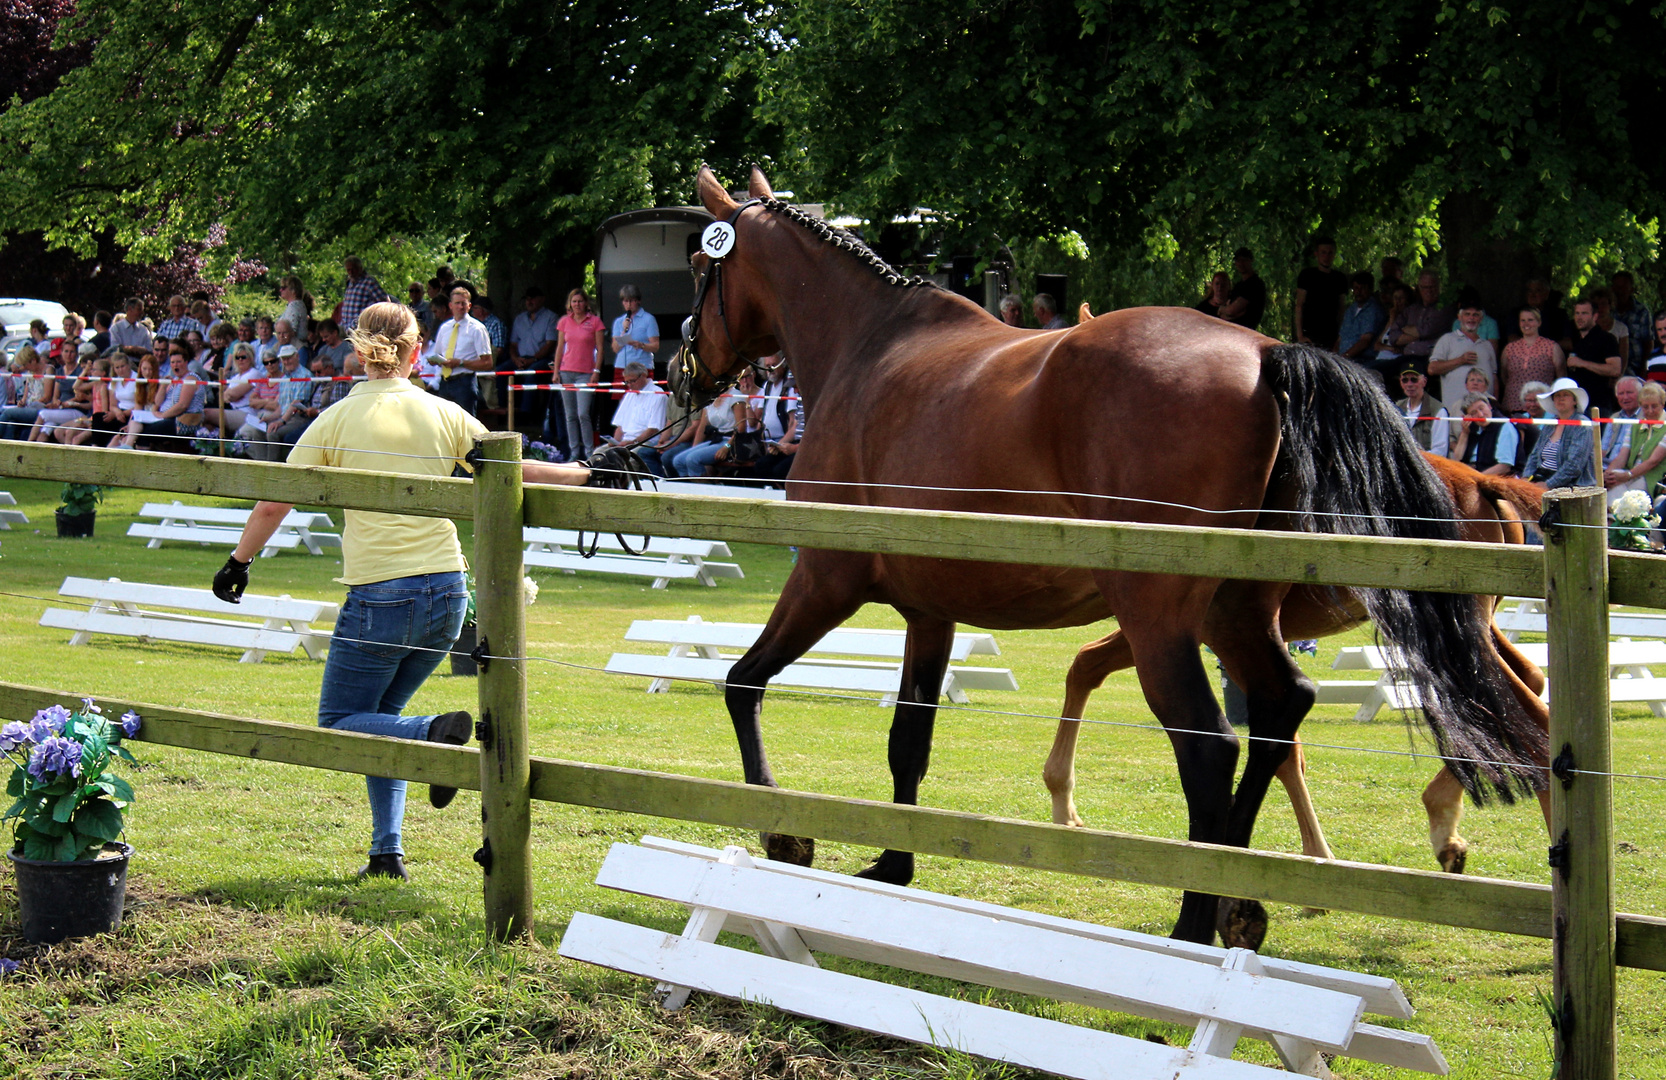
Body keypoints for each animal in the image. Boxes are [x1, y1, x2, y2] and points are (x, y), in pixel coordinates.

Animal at [1046, 460, 1552, 873]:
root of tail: (1479, 480)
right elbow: (1086, 664)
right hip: (1471, 628)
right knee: (1524, 687)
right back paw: (1447, 824)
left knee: (1528, 716)